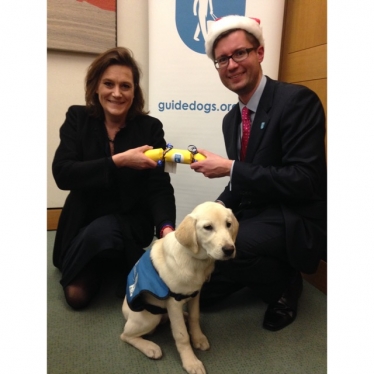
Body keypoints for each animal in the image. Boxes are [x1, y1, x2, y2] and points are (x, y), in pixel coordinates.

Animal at [121, 202, 238, 374]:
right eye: (208, 227)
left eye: (228, 224)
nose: (229, 249)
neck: (195, 260)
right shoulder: (174, 302)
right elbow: (182, 335)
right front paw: (191, 362)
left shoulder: (195, 294)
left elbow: (195, 317)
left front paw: (198, 338)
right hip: (150, 318)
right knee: (125, 335)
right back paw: (150, 347)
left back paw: (185, 316)